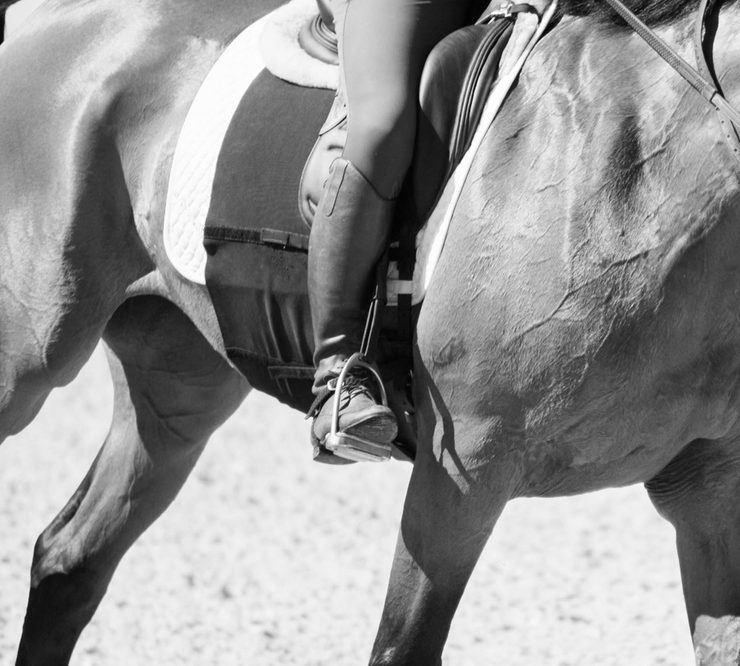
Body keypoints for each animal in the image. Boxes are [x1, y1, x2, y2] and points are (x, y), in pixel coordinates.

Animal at [1, 0, 739, 663]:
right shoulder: (464, 472)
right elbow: (400, 647)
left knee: (70, 561)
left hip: (178, 390)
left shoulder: (707, 489)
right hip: (28, 360)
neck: (634, 175)